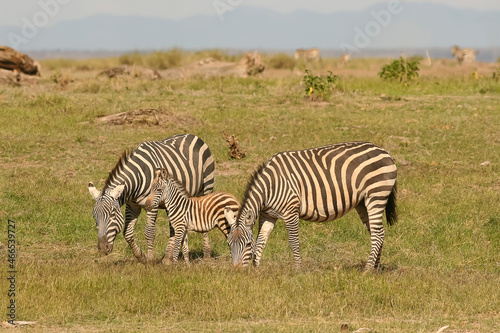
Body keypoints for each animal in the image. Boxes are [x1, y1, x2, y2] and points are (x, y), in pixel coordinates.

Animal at [88, 134, 215, 264]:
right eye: (94, 216)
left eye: (112, 214)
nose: (103, 249)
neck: (137, 179)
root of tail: (192, 135)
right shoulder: (132, 206)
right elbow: (127, 233)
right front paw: (141, 256)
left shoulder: (152, 205)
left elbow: (149, 232)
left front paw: (150, 259)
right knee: (174, 225)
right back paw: (168, 257)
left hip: (207, 186)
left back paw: (206, 254)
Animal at [228, 141, 398, 272]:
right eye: (229, 244)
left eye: (247, 244)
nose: (237, 271)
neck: (271, 186)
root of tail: (385, 152)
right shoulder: (268, 215)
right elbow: (261, 241)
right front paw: (256, 269)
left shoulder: (291, 211)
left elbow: (293, 242)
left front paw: (297, 269)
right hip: (362, 202)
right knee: (377, 232)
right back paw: (375, 268)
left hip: (376, 195)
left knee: (378, 233)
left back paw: (367, 270)